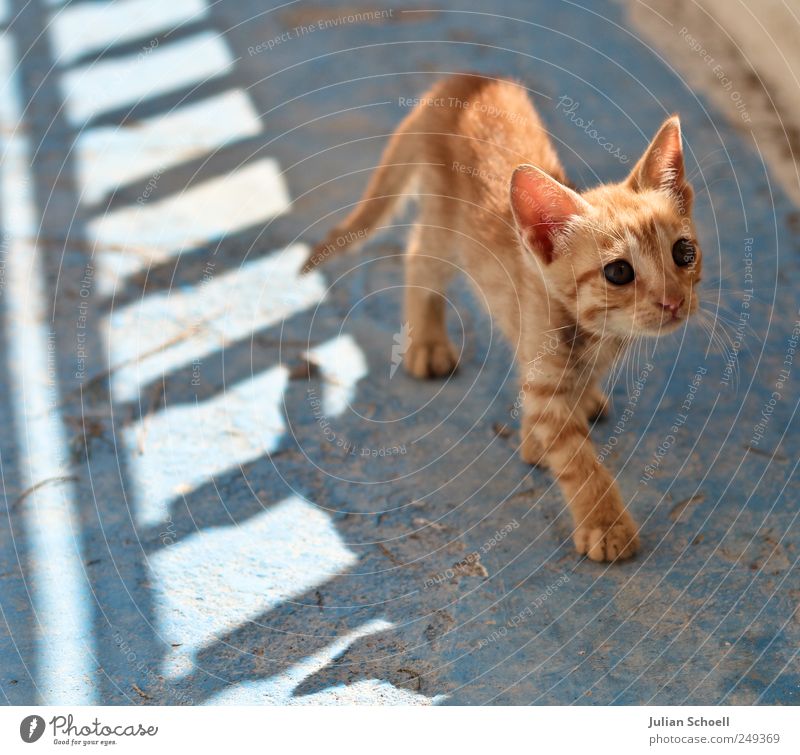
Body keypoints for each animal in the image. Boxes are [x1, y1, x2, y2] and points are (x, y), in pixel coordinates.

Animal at [304, 75, 704, 560]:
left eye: (684, 253)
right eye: (619, 273)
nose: (673, 302)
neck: (599, 333)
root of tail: (463, 79)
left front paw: (551, 426)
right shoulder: (544, 369)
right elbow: (576, 457)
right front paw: (604, 522)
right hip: (444, 228)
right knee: (417, 257)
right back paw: (427, 343)